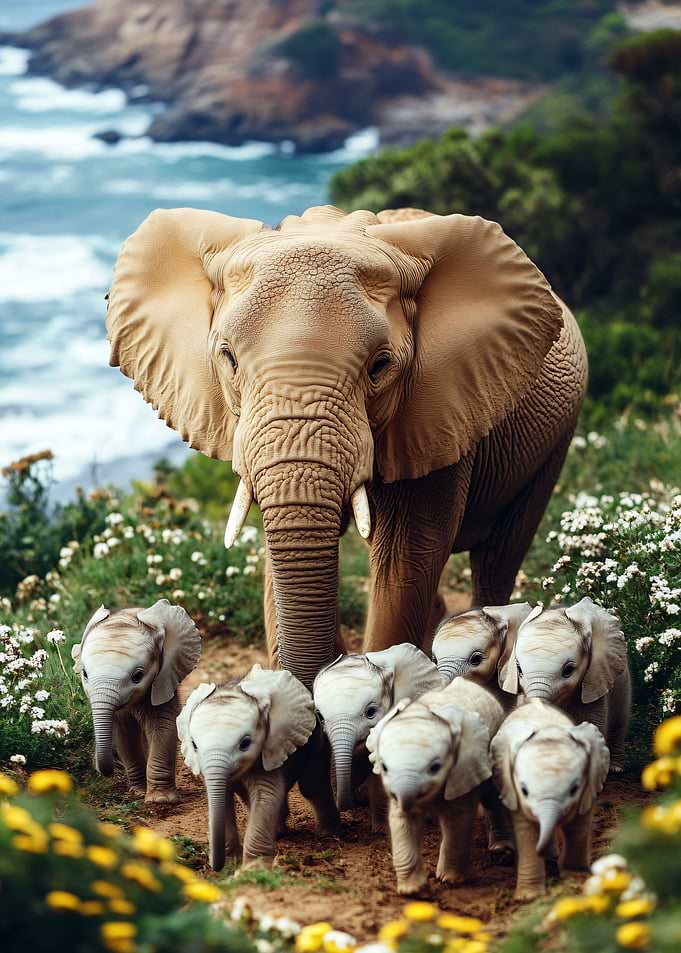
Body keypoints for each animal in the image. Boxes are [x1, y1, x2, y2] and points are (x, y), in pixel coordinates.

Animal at [72, 599, 201, 803]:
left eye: (137, 676)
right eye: (84, 674)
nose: (99, 768)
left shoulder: (163, 679)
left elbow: (162, 726)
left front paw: (161, 800)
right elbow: (124, 734)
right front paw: (138, 792)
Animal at [107, 204, 587, 690]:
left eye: (380, 366)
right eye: (229, 359)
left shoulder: (440, 410)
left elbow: (405, 559)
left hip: (554, 442)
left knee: (499, 555)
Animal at [177, 664, 339, 870]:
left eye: (245, 743)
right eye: (194, 745)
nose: (216, 867)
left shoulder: (270, 746)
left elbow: (266, 795)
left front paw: (251, 870)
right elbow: (224, 797)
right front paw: (232, 863)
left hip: (315, 737)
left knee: (312, 786)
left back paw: (327, 833)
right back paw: (278, 833)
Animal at [366, 678, 505, 895]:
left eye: (435, 767)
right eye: (384, 767)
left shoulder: (463, 768)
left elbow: (458, 819)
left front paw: (450, 880)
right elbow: (400, 820)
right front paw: (412, 890)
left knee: (493, 799)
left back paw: (500, 851)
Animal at [491, 698, 610, 900]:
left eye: (574, 789)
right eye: (524, 790)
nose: (551, 858)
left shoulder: (590, 782)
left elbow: (579, 826)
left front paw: (575, 879)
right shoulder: (512, 787)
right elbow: (526, 831)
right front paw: (529, 897)